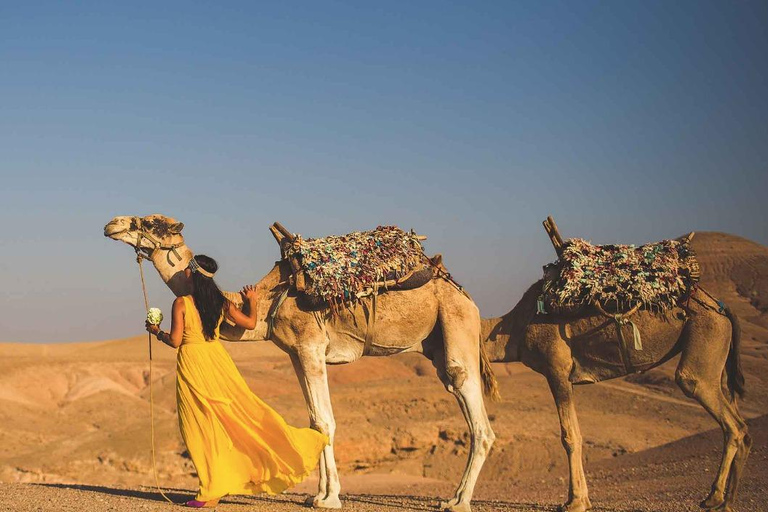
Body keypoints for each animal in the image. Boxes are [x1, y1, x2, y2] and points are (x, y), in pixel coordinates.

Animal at [106, 213, 498, 512]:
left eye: (152, 222)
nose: (113, 224)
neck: (269, 300)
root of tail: (465, 294)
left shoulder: (311, 346)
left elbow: (325, 421)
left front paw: (330, 499)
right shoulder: (296, 353)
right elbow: (314, 421)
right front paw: (318, 494)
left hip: (456, 322)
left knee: (475, 410)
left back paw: (458, 502)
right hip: (436, 341)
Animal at [484, 276, 748, 512]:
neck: (515, 328)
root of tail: (722, 308)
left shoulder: (556, 369)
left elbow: (570, 436)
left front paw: (575, 502)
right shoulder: (565, 377)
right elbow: (576, 432)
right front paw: (583, 499)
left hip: (706, 338)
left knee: (726, 417)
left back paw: (714, 498)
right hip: (718, 357)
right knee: (741, 424)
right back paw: (728, 501)